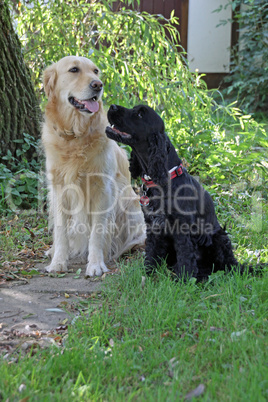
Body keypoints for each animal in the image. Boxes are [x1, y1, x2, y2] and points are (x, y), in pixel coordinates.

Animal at [105, 103, 255, 280]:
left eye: (140, 114)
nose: (112, 106)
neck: (164, 180)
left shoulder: (182, 228)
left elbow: (185, 254)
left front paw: (184, 279)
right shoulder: (153, 225)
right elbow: (152, 252)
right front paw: (148, 274)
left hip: (218, 236)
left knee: (226, 267)